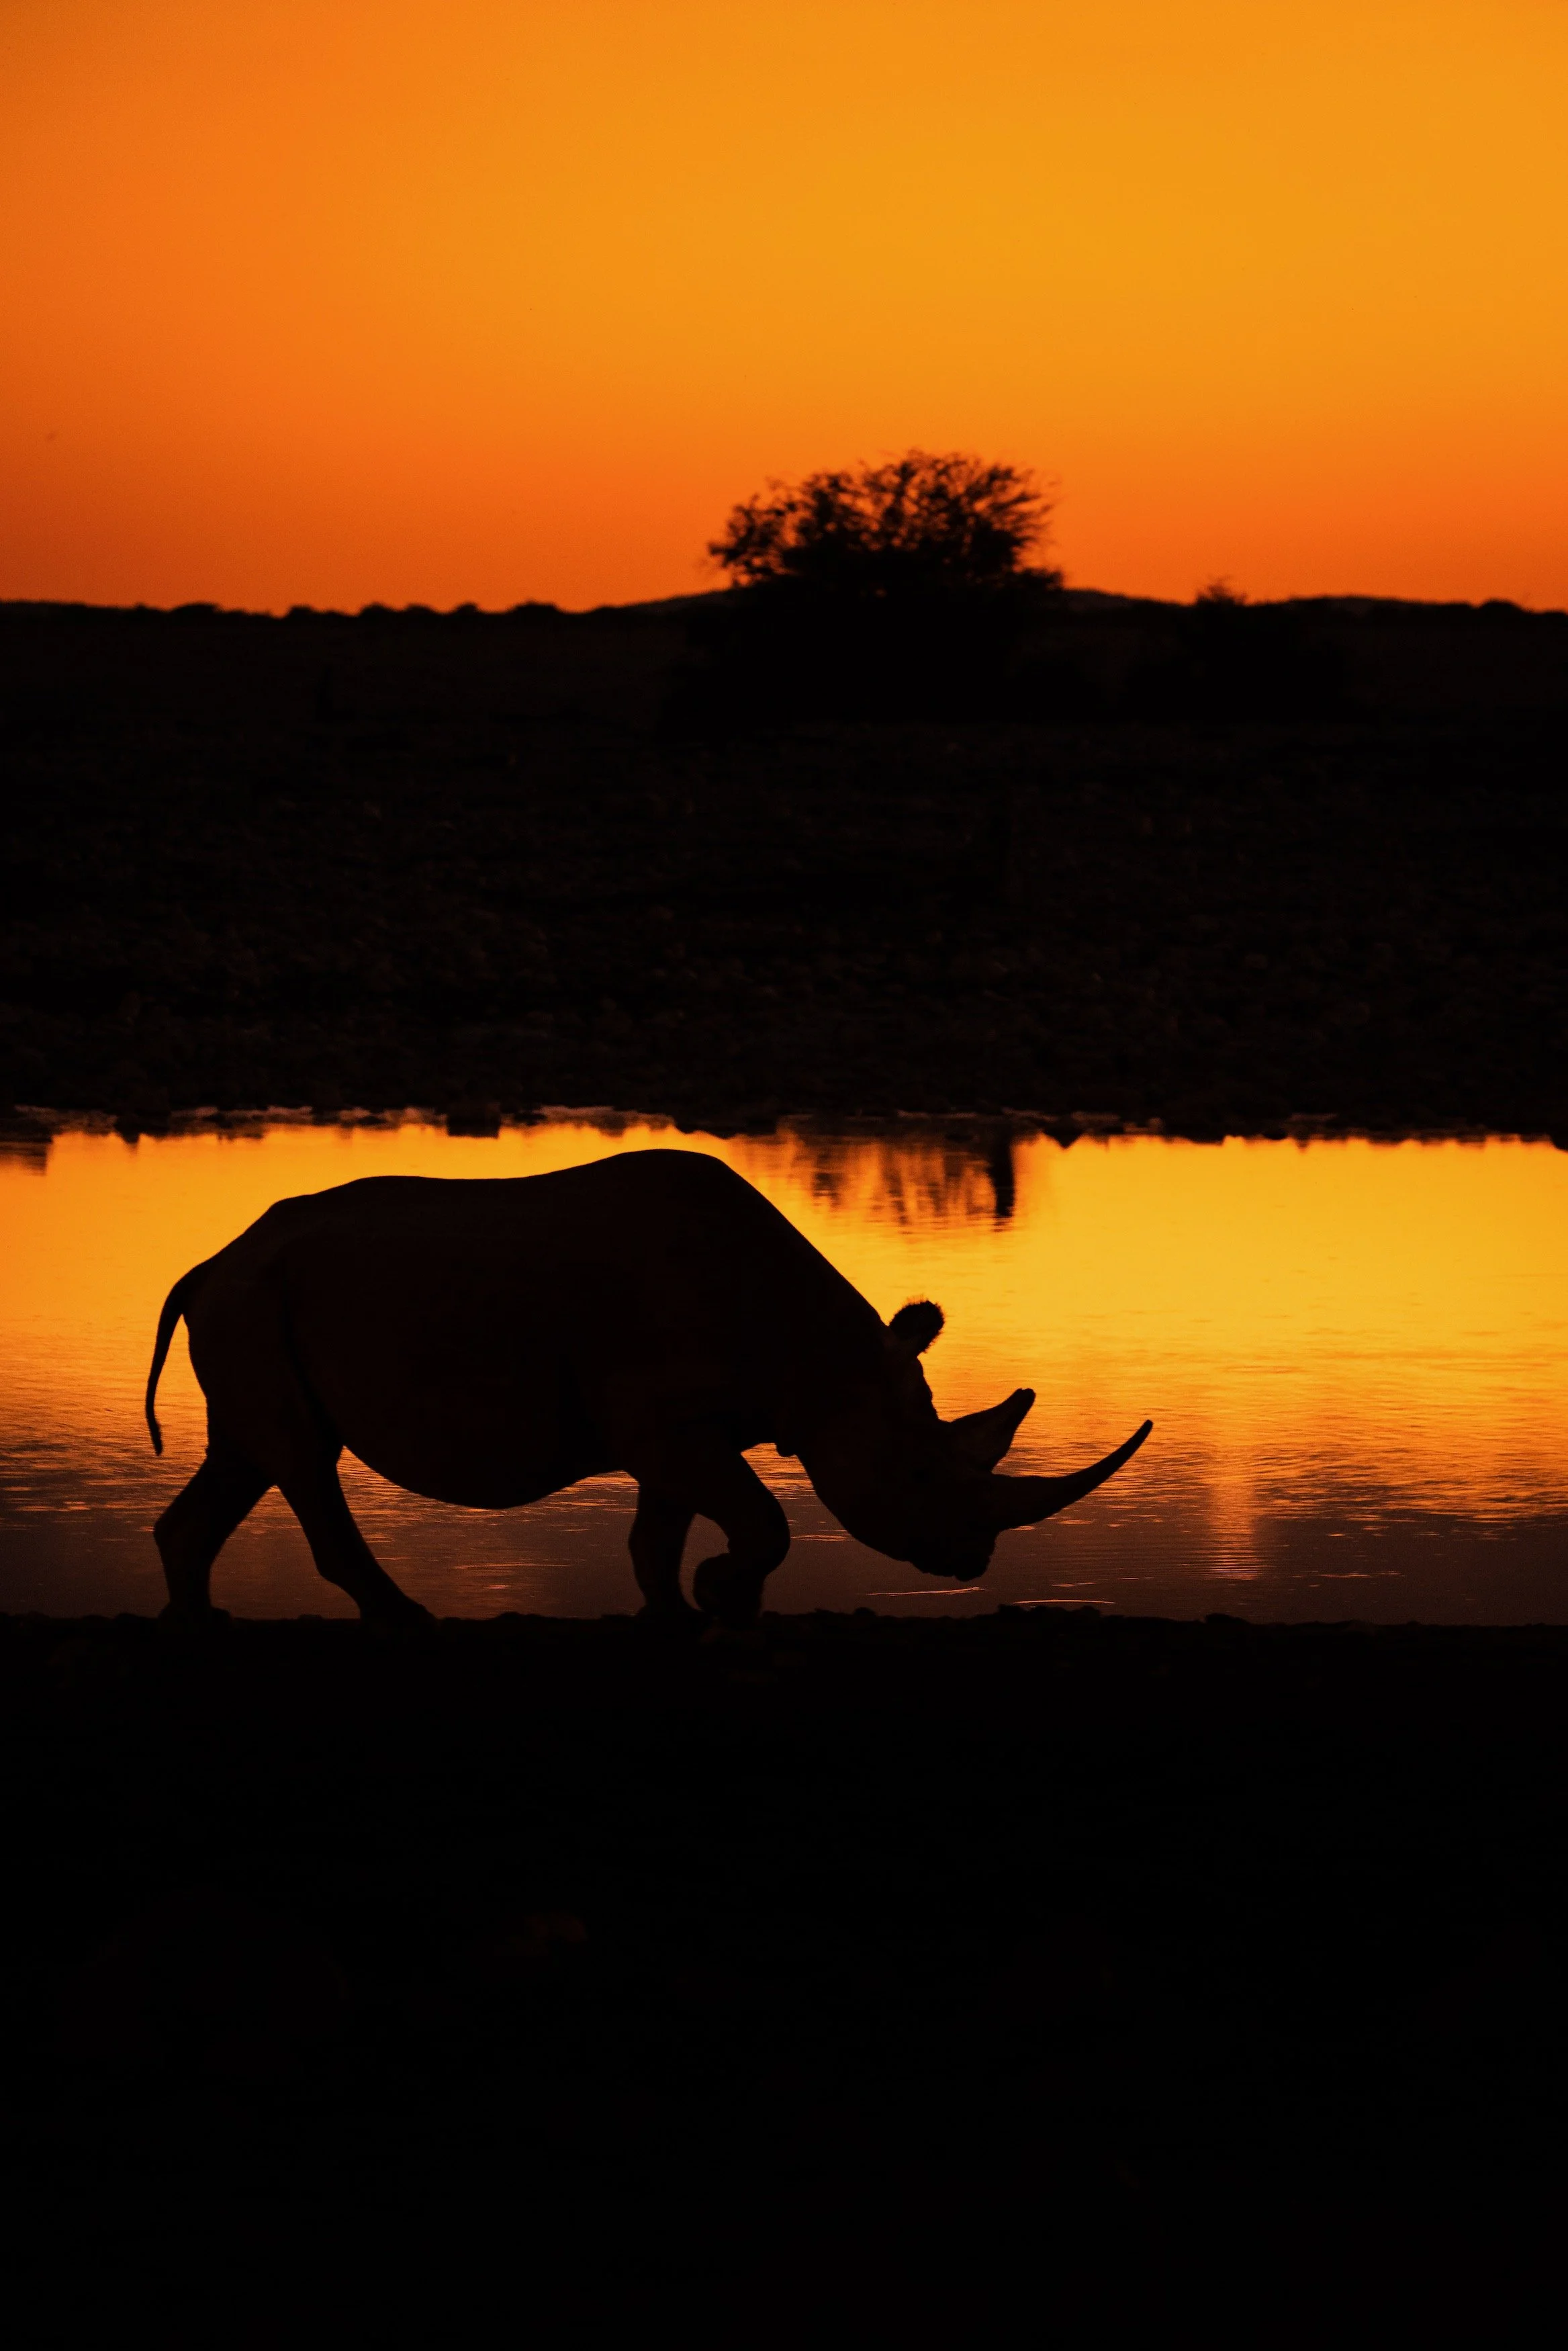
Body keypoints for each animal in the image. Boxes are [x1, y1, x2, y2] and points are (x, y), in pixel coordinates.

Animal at [145, 1148, 1150, 1628]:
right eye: (917, 1479)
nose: (971, 1559)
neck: (827, 1368)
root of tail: (206, 1261)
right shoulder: (659, 1420)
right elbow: (763, 1521)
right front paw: (719, 1596)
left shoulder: (678, 1427)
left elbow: (656, 1534)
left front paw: (681, 1610)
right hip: (251, 1299)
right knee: (302, 1456)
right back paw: (406, 1619)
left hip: (254, 1303)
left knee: (251, 1450)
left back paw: (201, 1622)